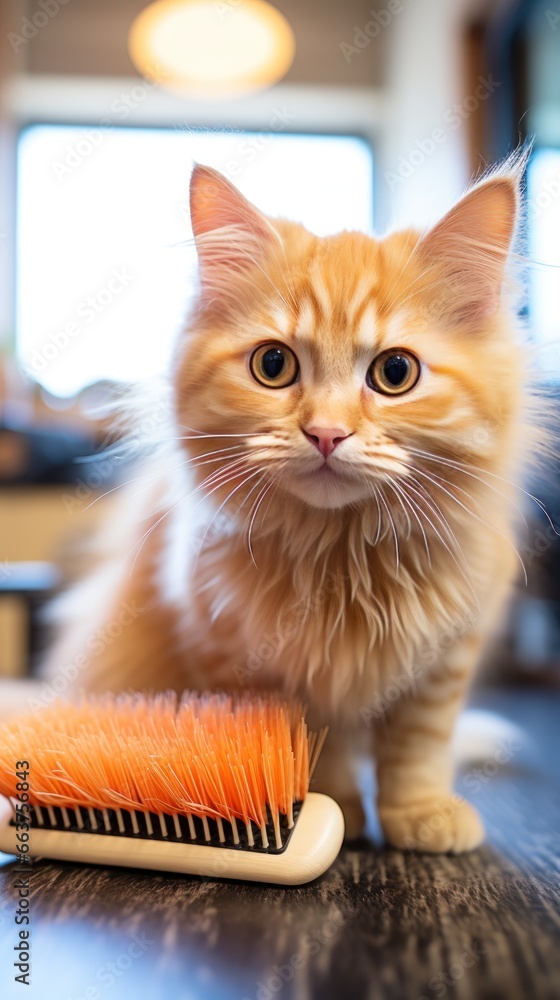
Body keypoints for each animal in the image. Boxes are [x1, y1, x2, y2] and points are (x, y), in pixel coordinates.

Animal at [29, 154, 540, 852]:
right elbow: (306, 745)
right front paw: (331, 811)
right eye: (273, 365)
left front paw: (420, 813)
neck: (345, 557)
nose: (326, 432)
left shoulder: (449, 652)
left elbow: (418, 746)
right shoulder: (241, 659)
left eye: (396, 373)